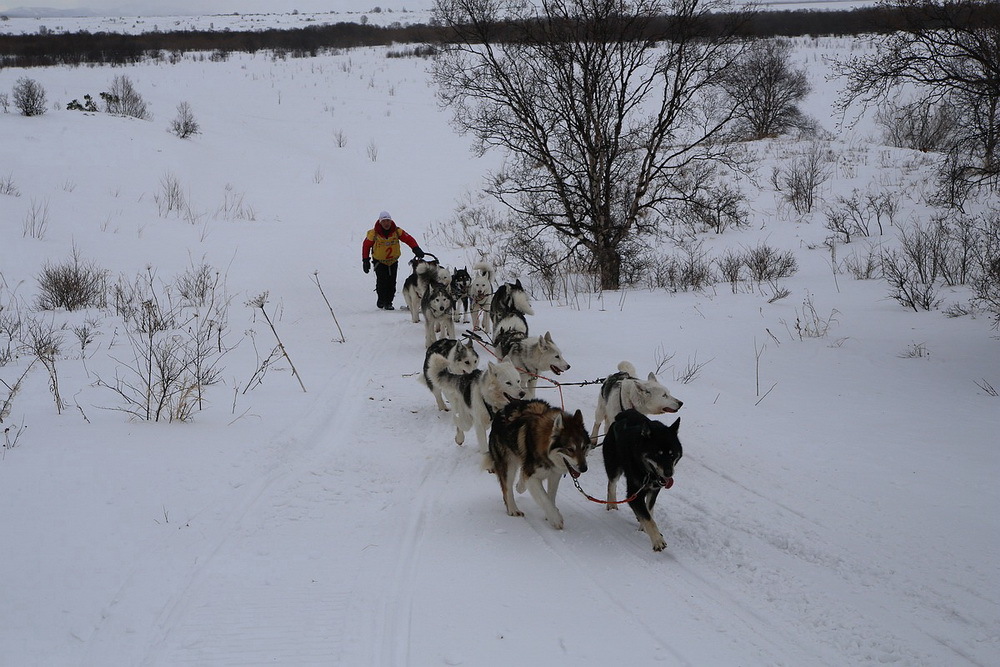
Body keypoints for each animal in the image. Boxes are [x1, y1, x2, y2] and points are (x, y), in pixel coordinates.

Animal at [600, 408, 680, 552]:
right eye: (658, 454)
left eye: (672, 454)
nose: (669, 473)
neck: (647, 473)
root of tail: (621, 415)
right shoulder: (634, 494)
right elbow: (648, 518)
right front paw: (657, 540)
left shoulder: (654, 490)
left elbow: (649, 511)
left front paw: (644, 527)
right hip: (614, 466)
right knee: (611, 485)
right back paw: (612, 505)